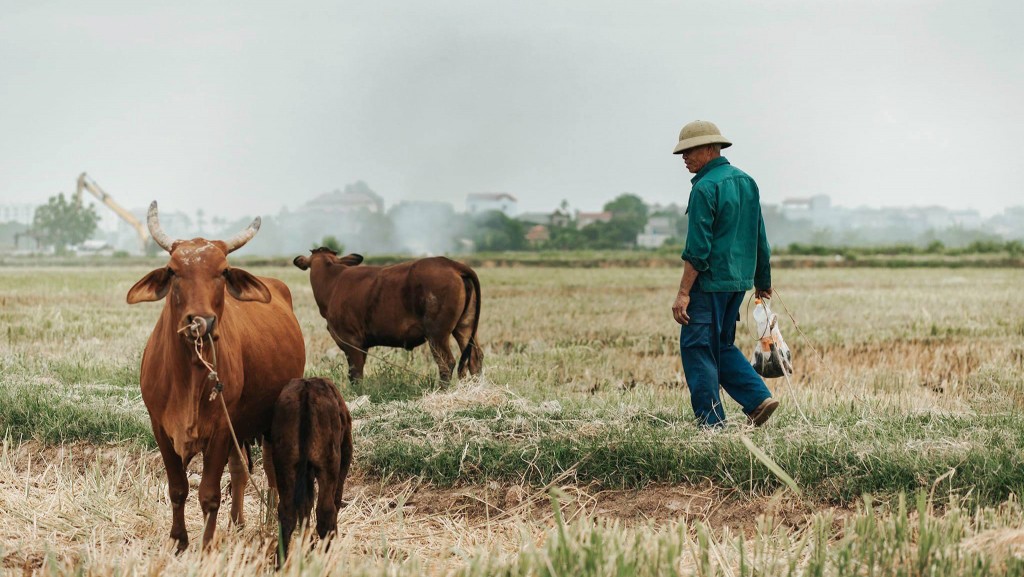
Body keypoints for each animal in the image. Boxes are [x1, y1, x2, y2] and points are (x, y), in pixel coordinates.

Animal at [126, 201, 305, 549]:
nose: (201, 322)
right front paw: (179, 541)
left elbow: (209, 494)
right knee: (239, 469)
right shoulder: (160, 427)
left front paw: (206, 546)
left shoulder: (222, 427)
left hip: (268, 420)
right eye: (172, 270)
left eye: (223, 271)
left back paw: (271, 518)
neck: (189, 378)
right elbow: (178, 489)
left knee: (272, 471)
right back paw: (237, 521)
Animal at [292, 248, 483, 383]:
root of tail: (451, 264)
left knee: (446, 363)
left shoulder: (351, 340)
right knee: (475, 358)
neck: (332, 282)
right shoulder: (362, 343)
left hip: (437, 333)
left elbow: (356, 375)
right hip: (465, 327)